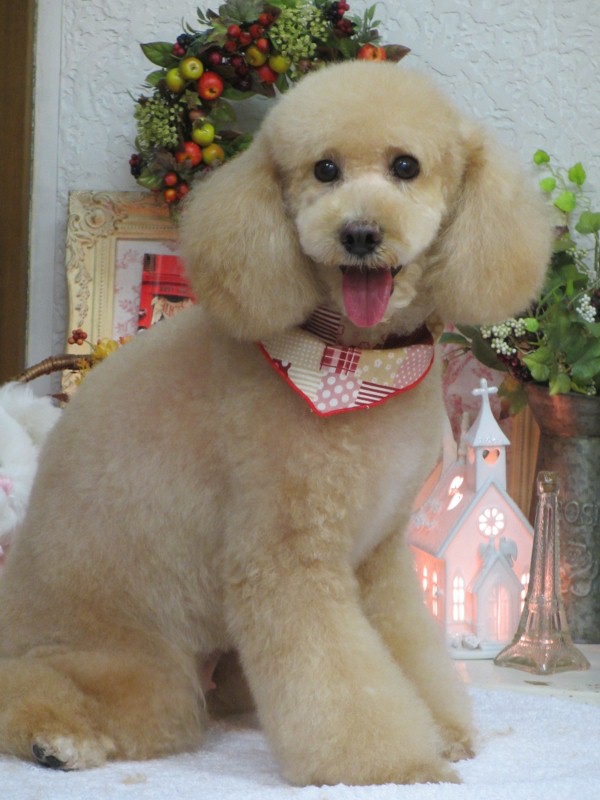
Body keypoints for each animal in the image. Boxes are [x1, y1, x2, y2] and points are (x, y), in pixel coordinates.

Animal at [0, 61, 550, 786]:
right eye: (325, 170)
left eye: (406, 166)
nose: (360, 234)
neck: (353, 361)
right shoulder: (287, 558)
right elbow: (339, 677)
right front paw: (395, 764)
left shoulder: (378, 553)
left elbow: (405, 648)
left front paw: (446, 731)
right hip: (128, 656)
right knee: (50, 684)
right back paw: (58, 740)